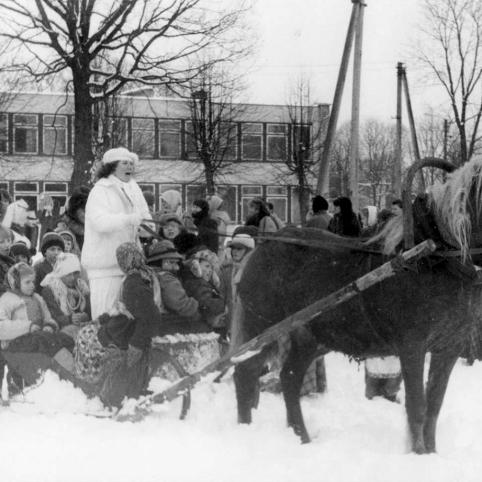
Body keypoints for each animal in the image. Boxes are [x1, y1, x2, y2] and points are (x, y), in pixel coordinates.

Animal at [232, 157, 482, 454]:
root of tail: (261, 247)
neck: (434, 256)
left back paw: (302, 438)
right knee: (245, 373)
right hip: (263, 328)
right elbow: (418, 407)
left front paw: (430, 454)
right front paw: (419, 455)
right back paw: (245, 431)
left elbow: (434, 406)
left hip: (308, 336)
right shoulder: (412, 346)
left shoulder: (448, 348)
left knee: (289, 379)